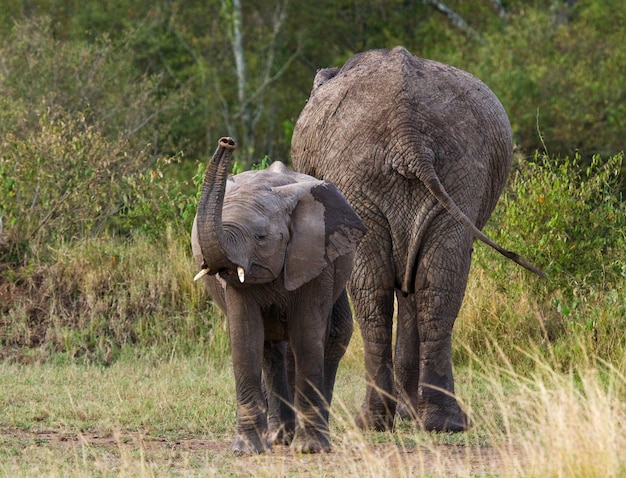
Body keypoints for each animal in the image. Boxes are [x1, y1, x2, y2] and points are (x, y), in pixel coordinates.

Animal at [190, 136, 366, 454]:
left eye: (260, 237)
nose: (228, 142)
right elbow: (246, 338)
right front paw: (248, 450)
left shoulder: (314, 258)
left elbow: (307, 336)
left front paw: (310, 449)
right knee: (271, 350)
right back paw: (280, 437)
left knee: (331, 335)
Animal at [290, 46, 540, 432]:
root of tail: (407, 131)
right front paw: (410, 414)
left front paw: (407, 414)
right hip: (455, 171)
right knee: (436, 282)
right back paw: (442, 422)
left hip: (367, 175)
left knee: (377, 289)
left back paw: (378, 421)